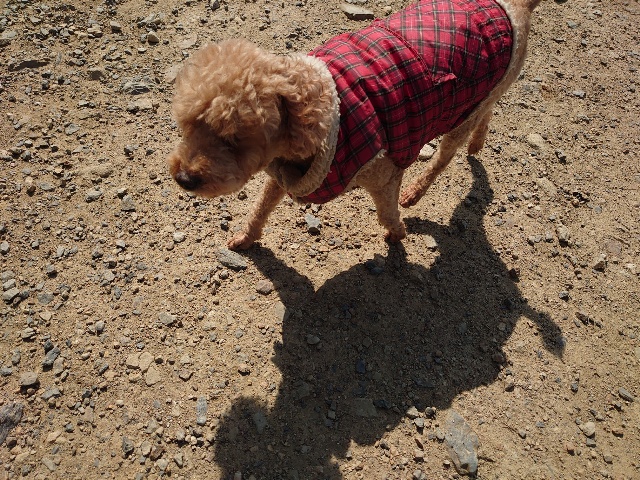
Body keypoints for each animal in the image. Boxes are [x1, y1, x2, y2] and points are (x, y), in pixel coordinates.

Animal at [168, 0, 543, 250]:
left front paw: (398, 235)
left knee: (443, 158)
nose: (183, 179)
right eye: (185, 126)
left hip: (461, 114)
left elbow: (388, 212)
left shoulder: (385, 172)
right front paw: (245, 239)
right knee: (488, 112)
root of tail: (517, 5)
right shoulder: (284, 173)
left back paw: (416, 192)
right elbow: (260, 208)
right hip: (485, 95)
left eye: (233, 139)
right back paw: (478, 144)